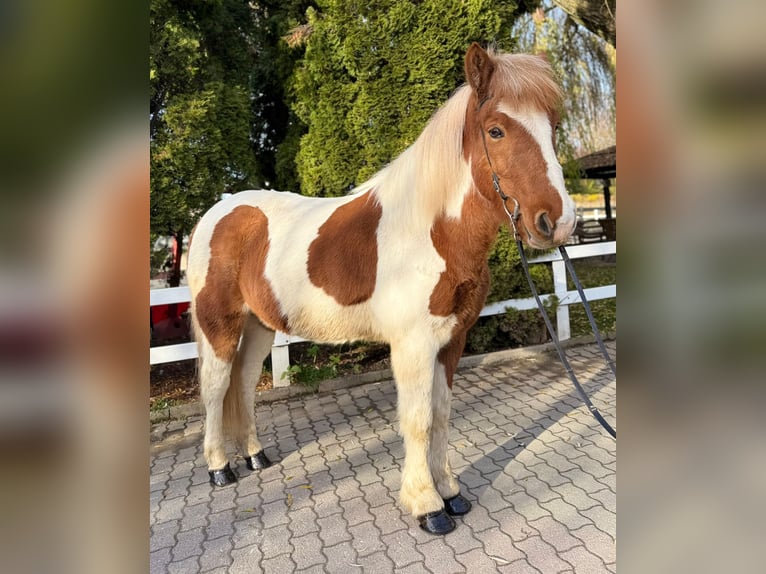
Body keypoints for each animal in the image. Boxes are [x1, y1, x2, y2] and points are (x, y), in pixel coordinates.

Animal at [186, 43, 576, 535]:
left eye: (554, 127)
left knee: (243, 382)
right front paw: (428, 506)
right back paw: (220, 467)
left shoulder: (452, 341)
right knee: (215, 388)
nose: (558, 222)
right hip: (219, 324)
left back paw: (255, 456)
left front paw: (452, 493)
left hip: (258, 327)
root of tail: (216, 213)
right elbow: (418, 420)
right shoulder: (413, 345)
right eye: (496, 130)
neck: (430, 231)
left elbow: (442, 414)